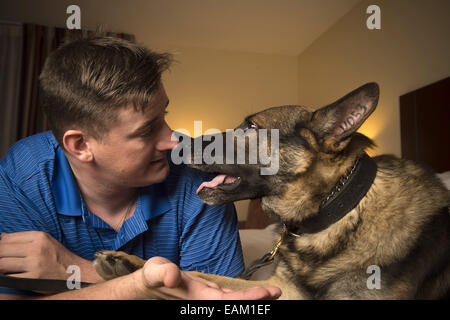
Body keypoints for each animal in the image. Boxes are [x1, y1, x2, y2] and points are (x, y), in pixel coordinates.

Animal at [93, 83, 448, 300]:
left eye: (251, 127)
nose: (174, 146)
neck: (335, 211)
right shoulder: (277, 289)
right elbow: (195, 273)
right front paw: (133, 265)